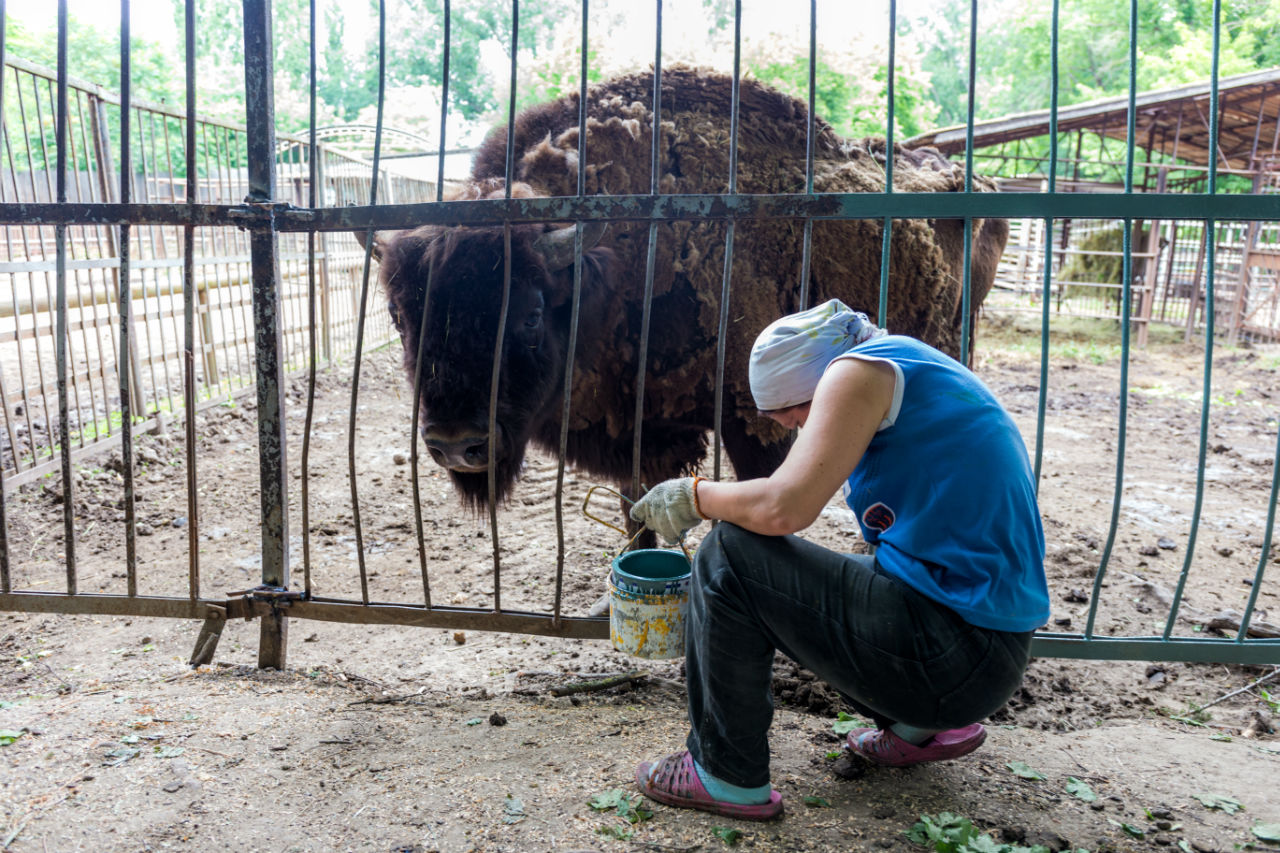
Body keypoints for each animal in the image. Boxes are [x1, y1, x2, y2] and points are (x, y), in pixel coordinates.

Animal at [360, 64, 1008, 512]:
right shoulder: (639, 427)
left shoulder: (751, 420)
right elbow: (635, 509)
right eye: (397, 315)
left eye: (530, 313)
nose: (456, 443)